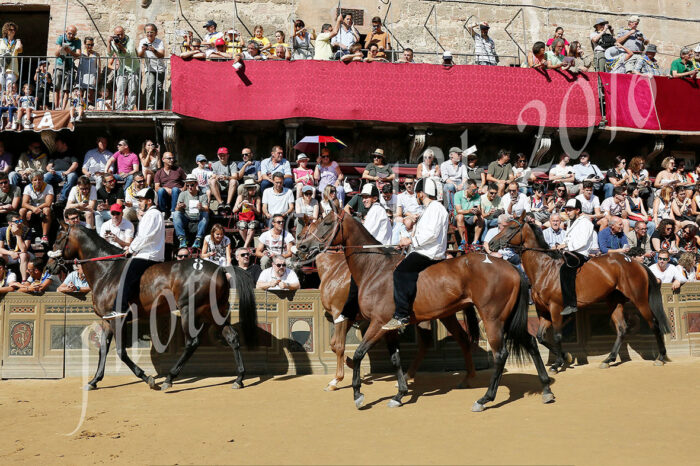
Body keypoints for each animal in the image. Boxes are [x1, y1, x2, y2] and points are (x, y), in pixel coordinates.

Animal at [45, 223, 258, 391]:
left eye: (58, 239)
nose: (48, 267)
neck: (107, 271)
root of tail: (220, 268)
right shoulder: (107, 319)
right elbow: (103, 349)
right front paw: (94, 380)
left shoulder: (118, 319)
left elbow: (121, 352)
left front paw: (147, 378)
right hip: (215, 312)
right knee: (232, 337)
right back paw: (239, 378)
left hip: (189, 310)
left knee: (192, 342)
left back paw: (170, 378)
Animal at [314, 251, 474, 392]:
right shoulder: (347, 317)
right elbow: (334, 344)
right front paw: (350, 364)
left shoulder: (340, 314)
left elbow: (339, 346)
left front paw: (337, 379)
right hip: (444, 313)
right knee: (451, 339)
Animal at [488, 215, 670, 372]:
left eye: (512, 227)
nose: (491, 243)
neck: (544, 269)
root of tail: (634, 262)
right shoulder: (543, 311)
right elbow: (540, 337)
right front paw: (565, 357)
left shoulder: (555, 308)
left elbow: (557, 336)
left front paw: (558, 363)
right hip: (614, 301)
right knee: (621, 328)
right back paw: (608, 359)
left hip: (639, 299)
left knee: (654, 323)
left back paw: (661, 357)